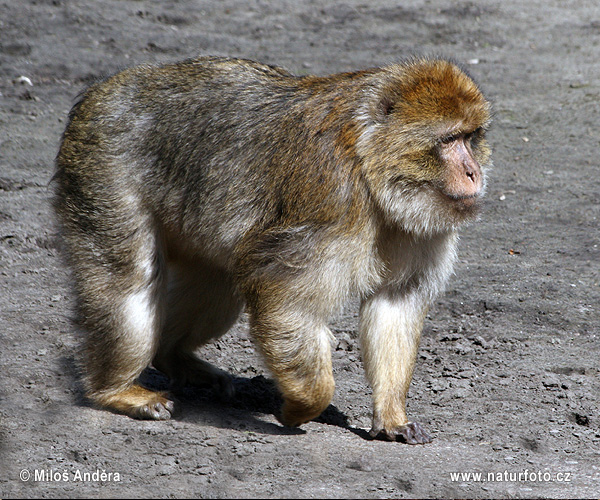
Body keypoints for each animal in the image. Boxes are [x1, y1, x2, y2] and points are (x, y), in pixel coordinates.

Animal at [52, 55, 492, 446]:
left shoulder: (424, 227)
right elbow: (284, 296)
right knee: (131, 279)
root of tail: (106, 88)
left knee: (217, 285)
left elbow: (395, 303)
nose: (474, 172)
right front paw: (302, 406)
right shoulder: (333, 198)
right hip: (102, 167)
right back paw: (114, 390)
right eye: (449, 140)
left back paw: (173, 358)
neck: (372, 168)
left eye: (470, 137)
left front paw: (391, 416)